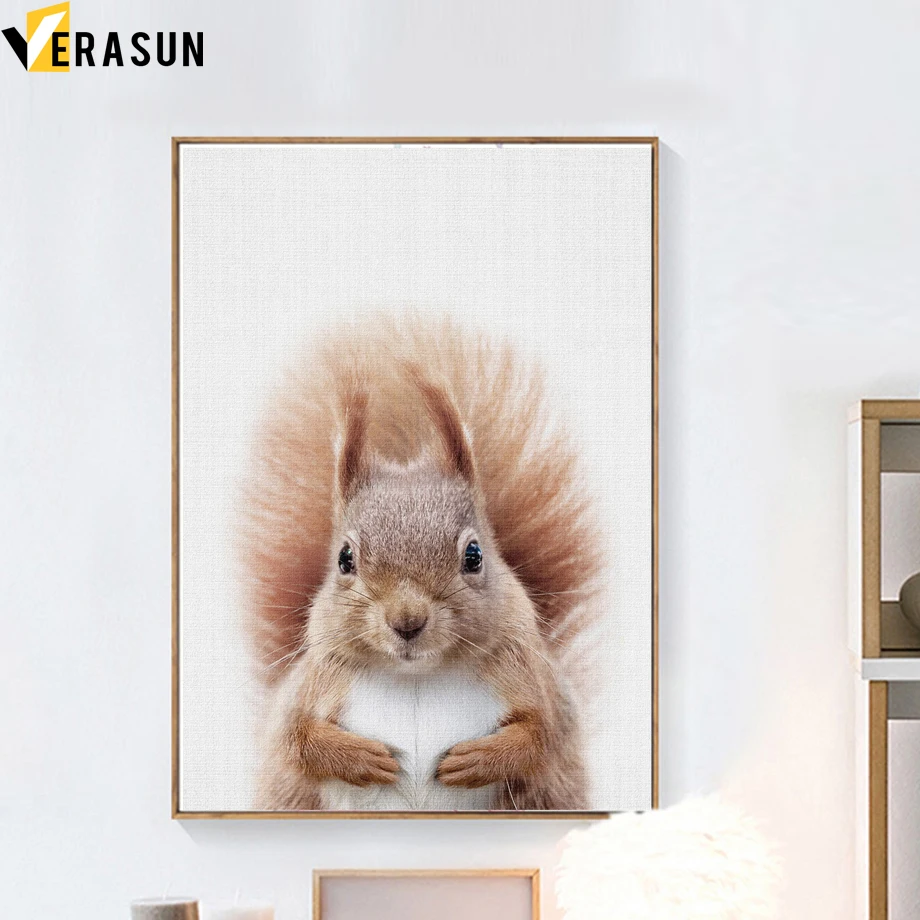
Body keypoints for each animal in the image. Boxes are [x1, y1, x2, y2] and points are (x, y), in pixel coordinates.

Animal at [241, 313, 602, 811]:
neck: (416, 677)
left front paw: (478, 759)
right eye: (344, 559)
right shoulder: (309, 689)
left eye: (474, 555)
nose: (407, 621)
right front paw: (361, 758)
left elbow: (542, 734)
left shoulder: (537, 683)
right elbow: (296, 739)